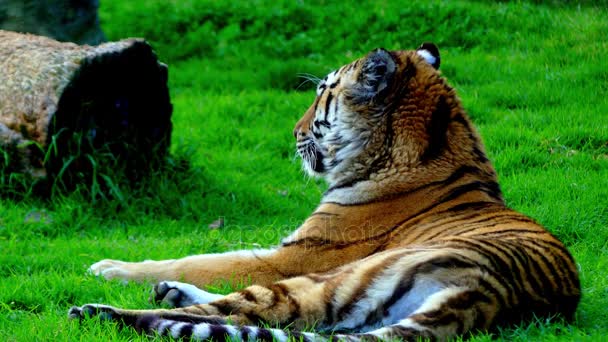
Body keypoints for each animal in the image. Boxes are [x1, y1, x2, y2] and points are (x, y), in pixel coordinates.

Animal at [67, 44, 580, 340]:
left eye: (323, 94)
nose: (293, 132)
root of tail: (488, 293)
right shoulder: (289, 247)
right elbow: (220, 252)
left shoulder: (294, 256)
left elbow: (204, 259)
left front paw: (107, 266)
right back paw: (168, 295)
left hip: (331, 280)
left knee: (239, 315)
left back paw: (101, 310)